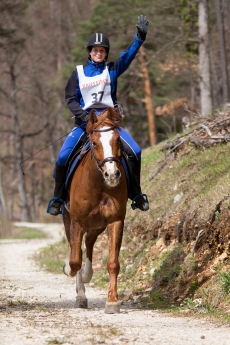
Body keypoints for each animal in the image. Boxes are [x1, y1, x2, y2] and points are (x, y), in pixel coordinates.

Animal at [62, 106, 127, 314]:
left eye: (117, 140)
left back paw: (87, 274)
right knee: (77, 250)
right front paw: (73, 277)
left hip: (98, 224)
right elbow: (74, 260)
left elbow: (113, 263)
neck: (99, 185)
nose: (112, 175)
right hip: (70, 221)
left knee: (89, 241)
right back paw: (81, 295)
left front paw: (112, 301)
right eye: (94, 142)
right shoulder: (76, 222)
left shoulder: (115, 221)